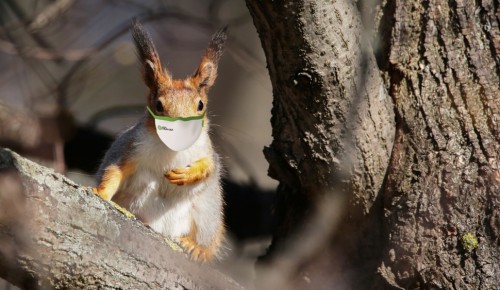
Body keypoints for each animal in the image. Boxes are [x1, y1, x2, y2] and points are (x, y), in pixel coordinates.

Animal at [94, 19, 227, 260]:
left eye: (200, 105)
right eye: (158, 105)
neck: (172, 149)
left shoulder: (207, 149)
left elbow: (209, 166)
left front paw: (187, 174)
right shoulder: (131, 147)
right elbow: (115, 171)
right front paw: (100, 192)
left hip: (208, 216)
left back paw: (198, 248)